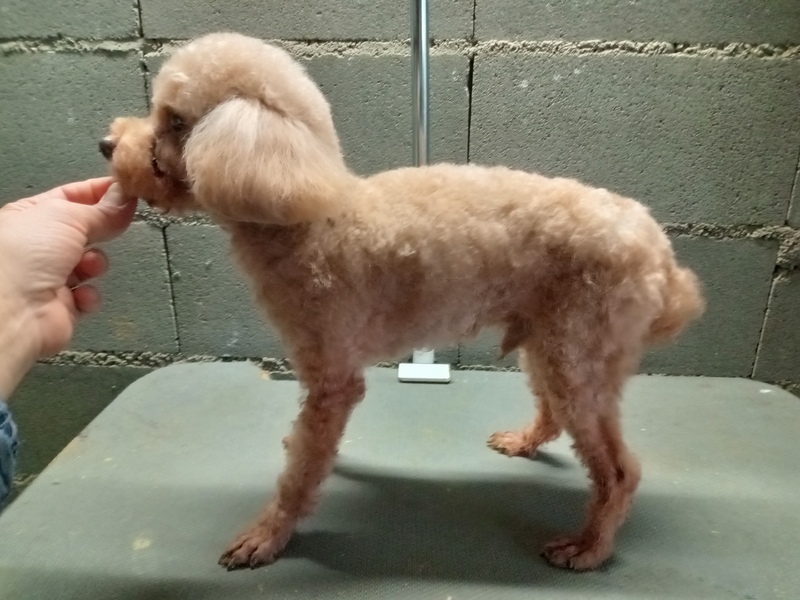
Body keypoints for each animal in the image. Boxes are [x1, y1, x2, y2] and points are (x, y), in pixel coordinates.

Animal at [101, 32, 704, 571]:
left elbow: (302, 469)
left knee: (618, 472)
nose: (108, 146)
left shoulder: (334, 380)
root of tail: (660, 254)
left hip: (579, 351)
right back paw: (525, 441)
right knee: (555, 412)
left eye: (175, 121)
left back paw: (590, 547)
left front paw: (269, 535)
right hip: (553, 343)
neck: (306, 214)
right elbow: (309, 447)